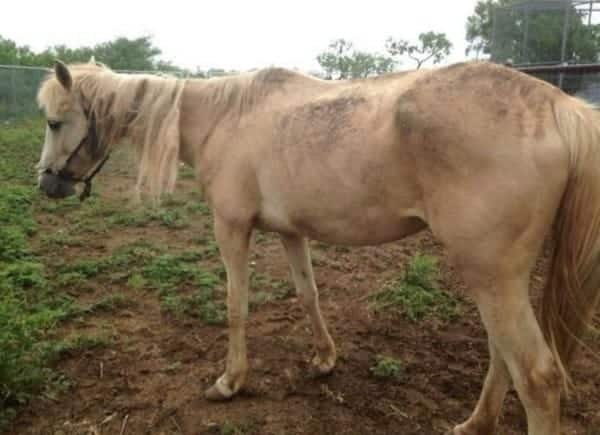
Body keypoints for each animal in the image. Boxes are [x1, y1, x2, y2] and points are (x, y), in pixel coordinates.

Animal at [36, 58, 600, 435]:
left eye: (54, 121)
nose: (46, 184)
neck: (224, 119)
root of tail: (561, 108)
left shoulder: (231, 228)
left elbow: (236, 307)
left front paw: (230, 382)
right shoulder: (292, 232)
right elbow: (308, 295)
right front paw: (325, 359)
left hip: (491, 276)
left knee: (537, 375)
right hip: (495, 277)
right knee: (502, 355)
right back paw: (475, 423)